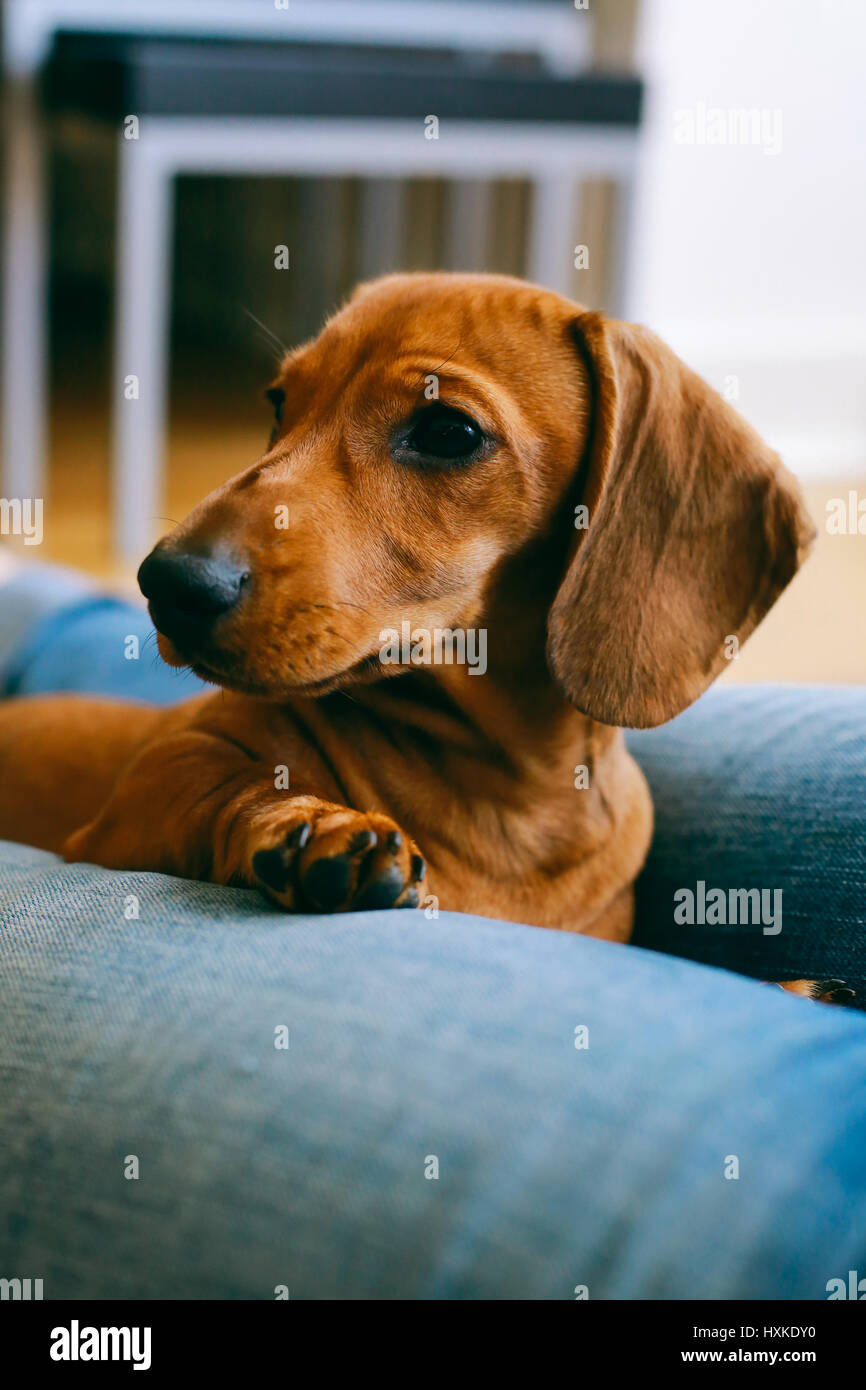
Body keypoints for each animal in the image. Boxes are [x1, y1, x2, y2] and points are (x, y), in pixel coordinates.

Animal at [0, 275, 817, 956]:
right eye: (279, 403)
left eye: (449, 432)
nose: (166, 583)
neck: (507, 793)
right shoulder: (136, 801)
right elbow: (224, 786)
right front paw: (315, 828)